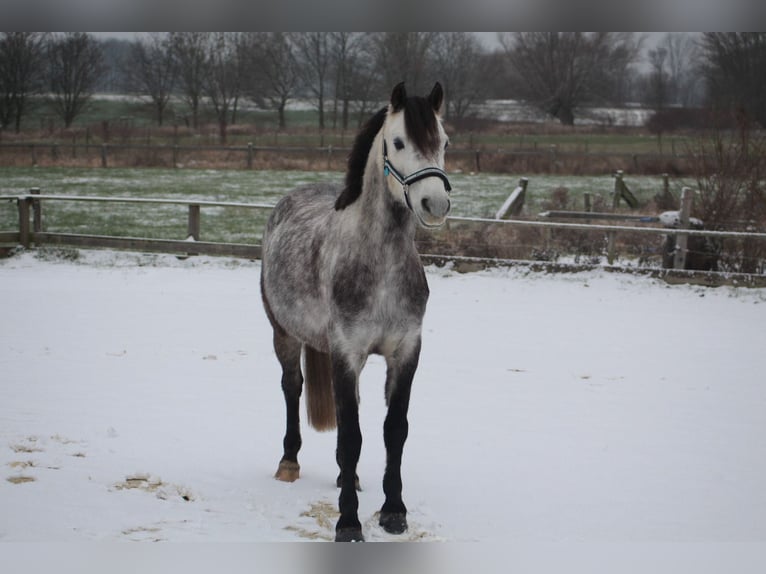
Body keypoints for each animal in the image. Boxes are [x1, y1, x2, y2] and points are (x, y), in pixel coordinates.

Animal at [260, 82, 451, 542]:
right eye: (398, 142)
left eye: (444, 143)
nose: (435, 203)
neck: (379, 263)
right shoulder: (346, 353)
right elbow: (351, 437)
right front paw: (348, 522)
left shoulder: (406, 352)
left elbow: (393, 431)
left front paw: (394, 512)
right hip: (283, 334)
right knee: (291, 387)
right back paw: (288, 463)